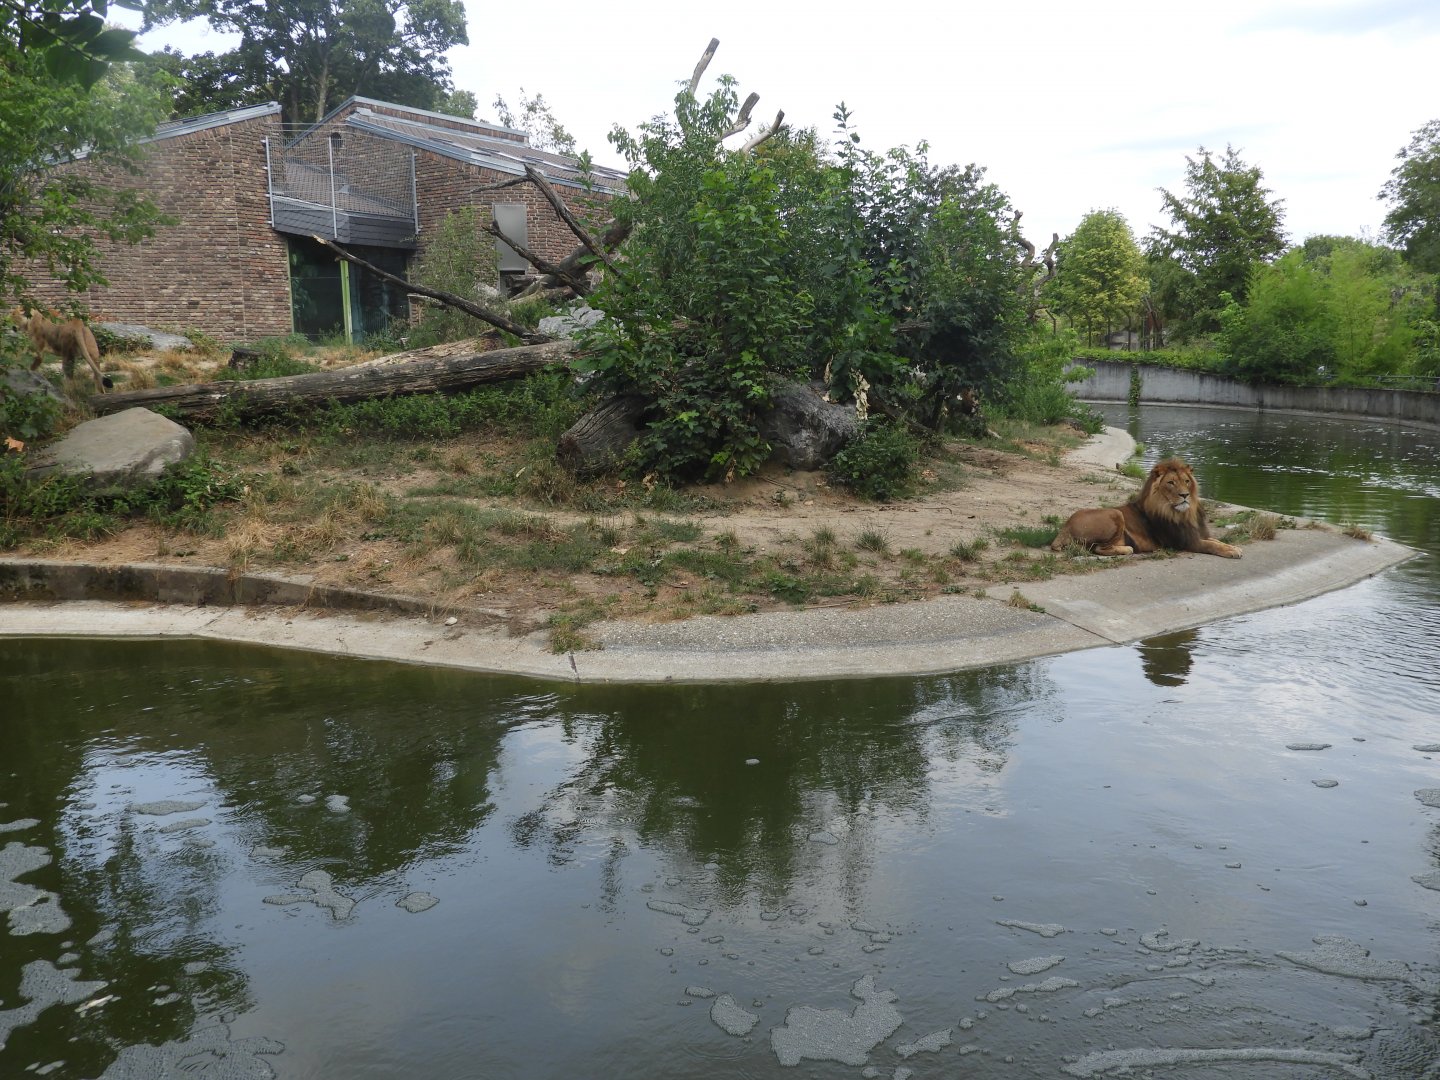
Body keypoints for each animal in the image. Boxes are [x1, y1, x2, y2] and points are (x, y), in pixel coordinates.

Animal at [1050, 457, 1242, 559]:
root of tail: (1065, 526)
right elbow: (1211, 546)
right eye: (1171, 483)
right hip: (1116, 513)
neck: (1185, 513)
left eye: (1186, 481)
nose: (1185, 495)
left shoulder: (1197, 533)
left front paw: (1234, 547)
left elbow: (1216, 541)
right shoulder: (1186, 542)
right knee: (1097, 548)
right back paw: (1127, 549)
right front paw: (1231, 551)